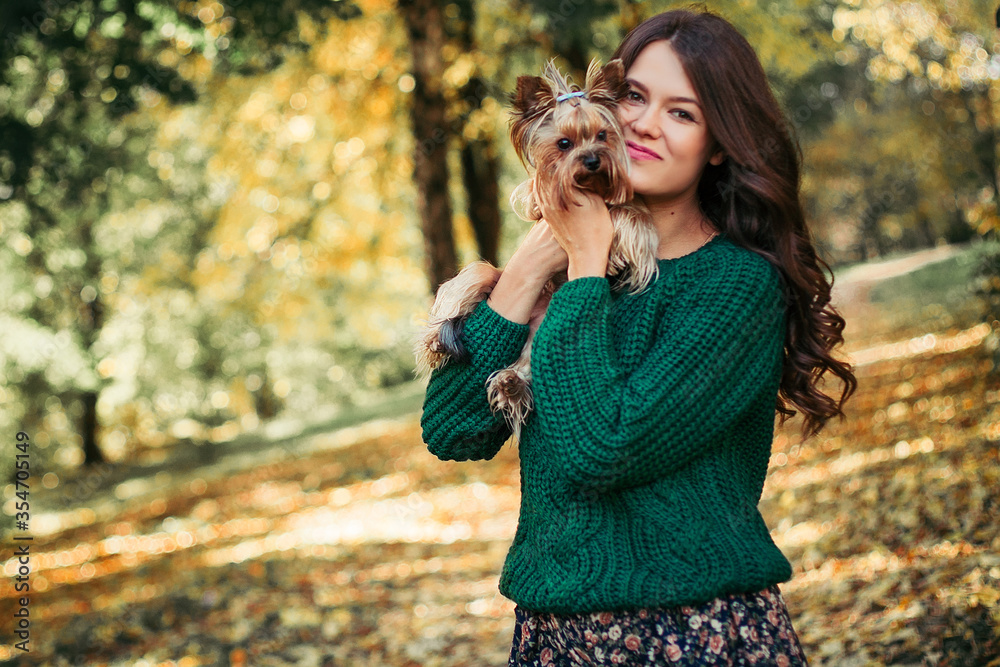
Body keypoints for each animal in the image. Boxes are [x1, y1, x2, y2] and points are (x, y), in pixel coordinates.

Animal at [412, 58, 656, 444]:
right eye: (563, 143)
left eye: (603, 135)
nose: (592, 161)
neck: (593, 188)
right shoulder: (540, 191)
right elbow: (539, 189)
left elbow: (631, 214)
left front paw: (620, 244)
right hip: (491, 278)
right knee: (477, 277)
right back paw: (437, 339)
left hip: (540, 332)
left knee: (529, 362)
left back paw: (511, 385)